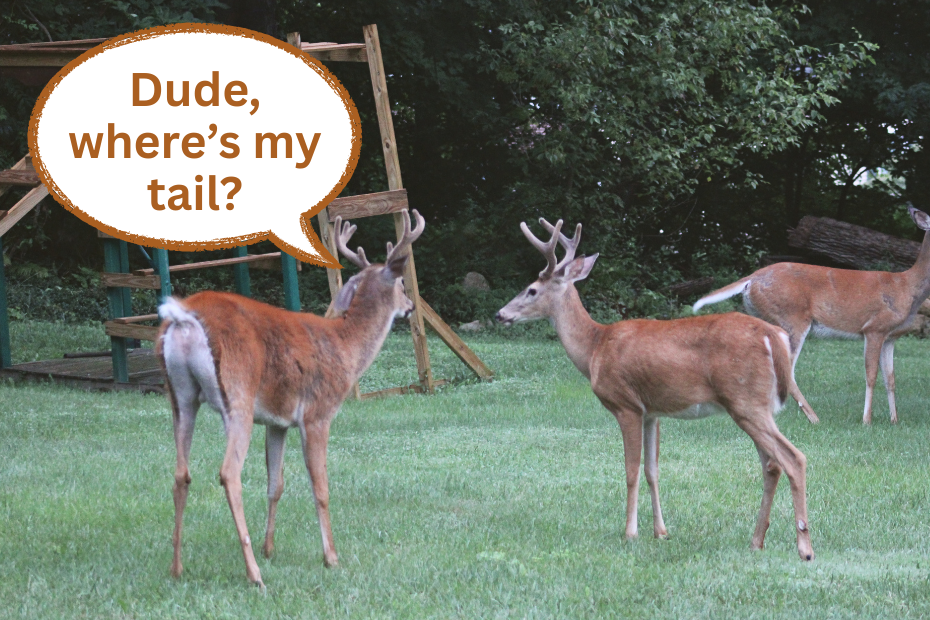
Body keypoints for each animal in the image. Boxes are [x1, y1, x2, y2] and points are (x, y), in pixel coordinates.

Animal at [156, 209, 425, 588]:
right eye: (402, 285)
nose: (410, 306)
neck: (347, 347)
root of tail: (183, 319)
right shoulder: (318, 413)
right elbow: (320, 487)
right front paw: (330, 557)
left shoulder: (277, 420)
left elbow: (276, 484)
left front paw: (270, 549)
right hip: (237, 395)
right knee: (229, 473)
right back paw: (254, 575)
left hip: (179, 397)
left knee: (181, 473)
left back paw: (177, 568)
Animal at [495, 218, 819, 560]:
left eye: (532, 289)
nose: (499, 314)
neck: (595, 347)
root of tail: (775, 337)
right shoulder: (652, 412)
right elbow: (653, 470)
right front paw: (660, 531)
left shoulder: (626, 405)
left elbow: (631, 470)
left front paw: (630, 532)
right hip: (757, 406)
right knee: (771, 465)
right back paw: (756, 541)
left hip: (745, 401)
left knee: (793, 458)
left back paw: (805, 548)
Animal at [693, 205, 930, 425]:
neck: (907, 287)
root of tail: (752, 278)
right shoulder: (874, 328)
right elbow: (871, 376)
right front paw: (866, 421)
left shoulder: (891, 336)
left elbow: (891, 379)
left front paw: (894, 420)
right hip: (792, 318)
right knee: (788, 370)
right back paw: (814, 418)